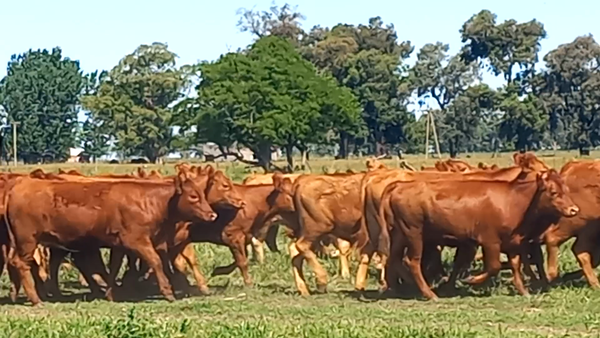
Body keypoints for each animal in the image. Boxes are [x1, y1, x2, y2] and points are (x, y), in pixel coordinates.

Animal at [4, 165, 223, 304]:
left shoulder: (119, 244)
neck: (148, 201)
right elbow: (155, 261)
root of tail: (20, 187)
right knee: (22, 264)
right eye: (193, 196)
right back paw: (36, 299)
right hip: (28, 240)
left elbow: (113, 268)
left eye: (203, 195)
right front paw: (168, 292)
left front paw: (110, 293)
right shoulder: (138, 241)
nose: (212, 215)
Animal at [378, 168, 580, 300]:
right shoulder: (490, 242)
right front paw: (471, 280)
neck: (513, 201)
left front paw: (523, 291)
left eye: (566, 190)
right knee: (412, 261)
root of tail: (400, 185)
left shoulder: (512, 243)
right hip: (414, 234)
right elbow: (494, 267)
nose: (574, 209)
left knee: (394, 258)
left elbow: (515, 265)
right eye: (553, 192)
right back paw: (429, 293)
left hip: (399, 234)